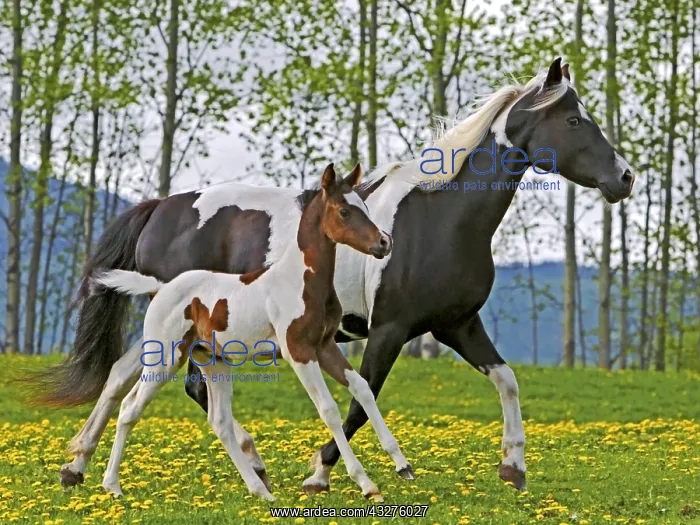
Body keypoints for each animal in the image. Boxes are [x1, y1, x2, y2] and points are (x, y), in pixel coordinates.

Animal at [89, 163, 401, 502]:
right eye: (344, 211)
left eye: (365, 207)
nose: (384, 242)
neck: (301, 280)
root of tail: (161, 288)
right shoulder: (299, 351)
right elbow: (328, 409)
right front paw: (364, 483)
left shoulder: (325, 346)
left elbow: (362, 388)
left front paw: (401, 465)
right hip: (166, 359)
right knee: (130, 409)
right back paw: (112, 485)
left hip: (212, 361)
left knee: (219, 421)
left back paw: (260, 489)